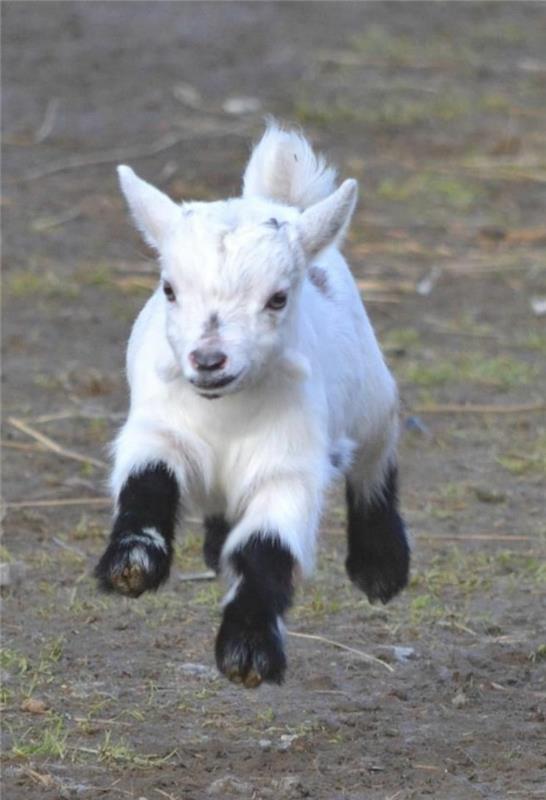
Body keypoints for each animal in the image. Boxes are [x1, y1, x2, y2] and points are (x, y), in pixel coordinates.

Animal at [94, 125, 408, 688]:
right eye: (169, 289)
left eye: (277, 298)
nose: (208, 359)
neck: (226, 411)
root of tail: (271, 196)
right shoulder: (158, 429)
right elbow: (146, 481)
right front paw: (133, 564)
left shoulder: (290, 467)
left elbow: (268, 545)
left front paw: (248, 650)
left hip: (371, 395)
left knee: (377, 456)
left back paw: (381, 567)